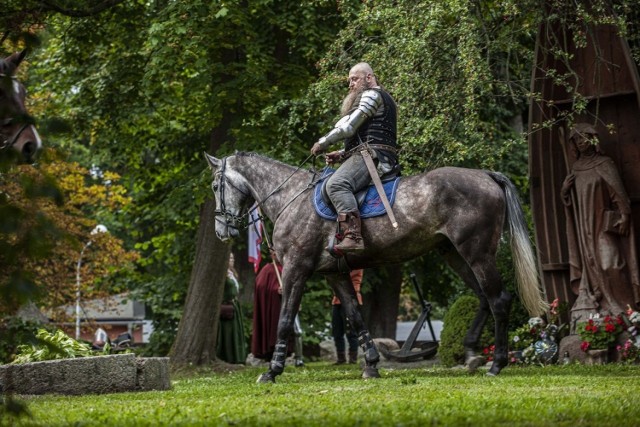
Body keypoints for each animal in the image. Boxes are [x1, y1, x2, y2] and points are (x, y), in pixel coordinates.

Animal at [208, 152, 548, 382]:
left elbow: (285, 320)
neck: (292, 198)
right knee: (482, 299)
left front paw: (273, 370)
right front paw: (371, 364)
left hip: (477, 254)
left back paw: (496, 363)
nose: (221, 231)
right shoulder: (335, 274)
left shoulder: (295, 268)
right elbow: (356, 316)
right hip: (454, 255)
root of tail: (486, 175)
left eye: (214, 185)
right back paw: (470, 351)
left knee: (499, 300)